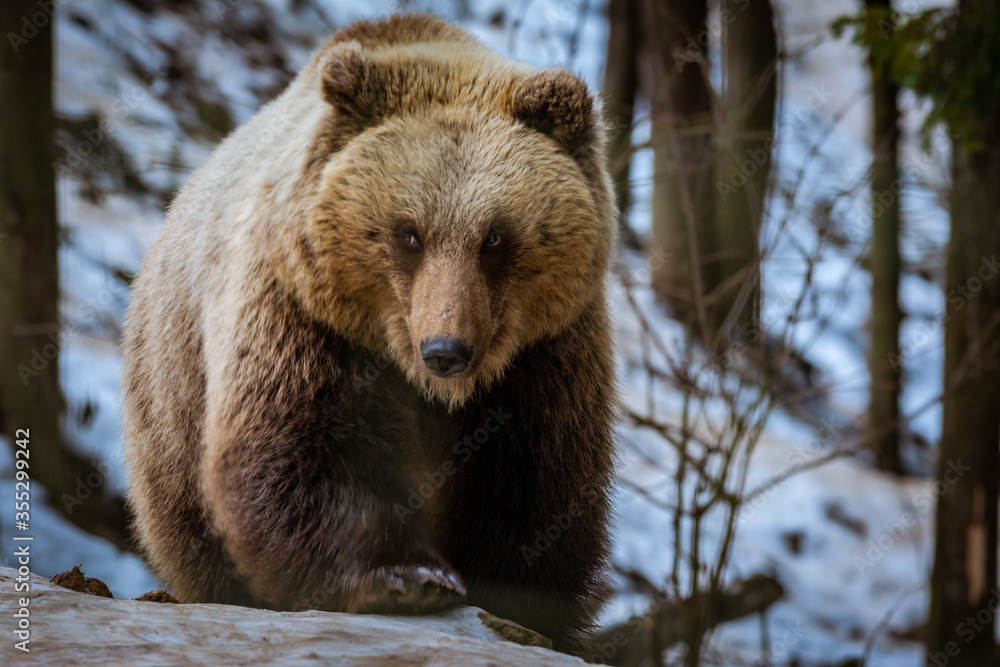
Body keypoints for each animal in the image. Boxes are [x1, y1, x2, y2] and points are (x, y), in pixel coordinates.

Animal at [121, 13, 617, 654]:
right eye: (409, 233)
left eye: (495, 237)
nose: (446, 351)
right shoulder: (304, 315)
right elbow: (303, 448)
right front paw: (405, 575)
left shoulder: (545, 354)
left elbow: (535, 487)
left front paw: (516, 603)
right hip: (170, 417)